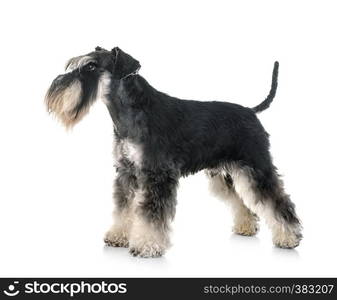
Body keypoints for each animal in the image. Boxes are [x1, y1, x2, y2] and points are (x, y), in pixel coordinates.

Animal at [45, 47, 302, 258]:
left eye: (91, 66)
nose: (56, 87)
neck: (132, 112)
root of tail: (251, 111)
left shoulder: (157, 175)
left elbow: (151, 215)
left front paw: (147, 246)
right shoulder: (127, 173)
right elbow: (123, 207)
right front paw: (118, 235)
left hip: (256, 169)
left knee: (278, 201)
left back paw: (289, 237)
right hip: (227, 174)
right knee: (242, 200)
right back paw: (246, 226)